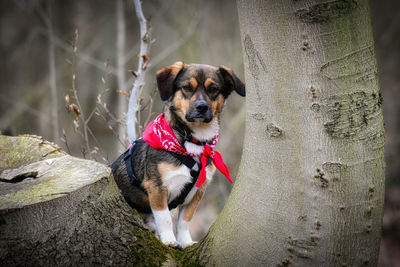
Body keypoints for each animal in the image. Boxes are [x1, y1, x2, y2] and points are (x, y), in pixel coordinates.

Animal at [111, 61, 245, 250]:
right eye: (187, 88)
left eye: (213, 89)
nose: (202, 107)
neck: (192, 143)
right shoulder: (157, 188)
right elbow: (165, 218)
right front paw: (169, 240)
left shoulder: (197, 192)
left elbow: (184, 221)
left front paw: (185, 242)